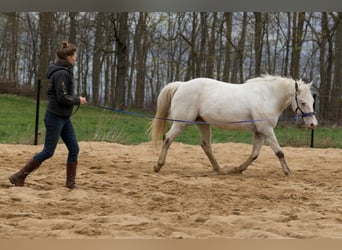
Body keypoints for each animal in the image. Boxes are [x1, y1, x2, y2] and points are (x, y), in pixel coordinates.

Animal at [150, 74, 318, 176]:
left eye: (312, 101)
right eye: (302, 102)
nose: (312, 124)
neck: (267, 97)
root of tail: (182, 85)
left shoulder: (260, 132)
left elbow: (254, 154)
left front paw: (238, 169)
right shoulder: (267, 130)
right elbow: (279, 152)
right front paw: (288, 172)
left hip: (203, 123)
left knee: (206, 145)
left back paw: (219, 169)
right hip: (181, 123)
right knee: (167, 138)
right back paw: (158, 165)